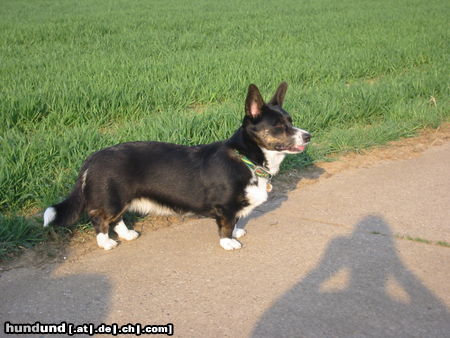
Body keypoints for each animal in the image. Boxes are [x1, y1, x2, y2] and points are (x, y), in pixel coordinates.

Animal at [44, 83, 312, 250]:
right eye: (278, 127)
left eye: (291, 121)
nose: (308, 136)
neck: (247, 157)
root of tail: (92, 158)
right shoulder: (225, 207)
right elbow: (226, 225)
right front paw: (228, 242)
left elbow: (235, 221)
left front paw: (236, 232)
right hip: (112, 199)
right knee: (100, 220)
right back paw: (106, 243)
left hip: (121, 199)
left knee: (116, 219)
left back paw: (127, 234)